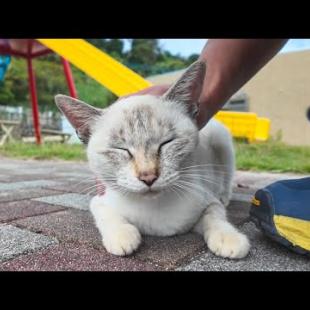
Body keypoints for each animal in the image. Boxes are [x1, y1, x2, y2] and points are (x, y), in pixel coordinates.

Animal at [55, 60, 249, 260]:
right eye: (121, 149)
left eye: (166, 143)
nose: (148, 177)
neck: (155, 209)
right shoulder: (100, 201)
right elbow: (109, 215)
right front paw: (122, 237)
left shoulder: (208, 201)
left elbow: (215, 217)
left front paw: (229, 239)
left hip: (222, 140)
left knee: (227, 179)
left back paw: (224, 196)